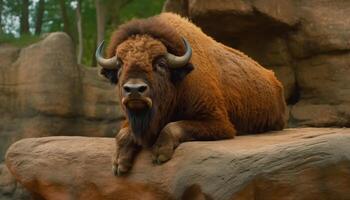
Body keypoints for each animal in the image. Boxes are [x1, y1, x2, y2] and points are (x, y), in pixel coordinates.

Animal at [96, 12, 288, 175]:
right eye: (120, 65)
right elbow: (123, 134)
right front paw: (119, 163)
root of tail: (275, 81)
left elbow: (173, 126)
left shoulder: (219, 123)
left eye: (161, 64)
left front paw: (160, 153)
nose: (134, 90)